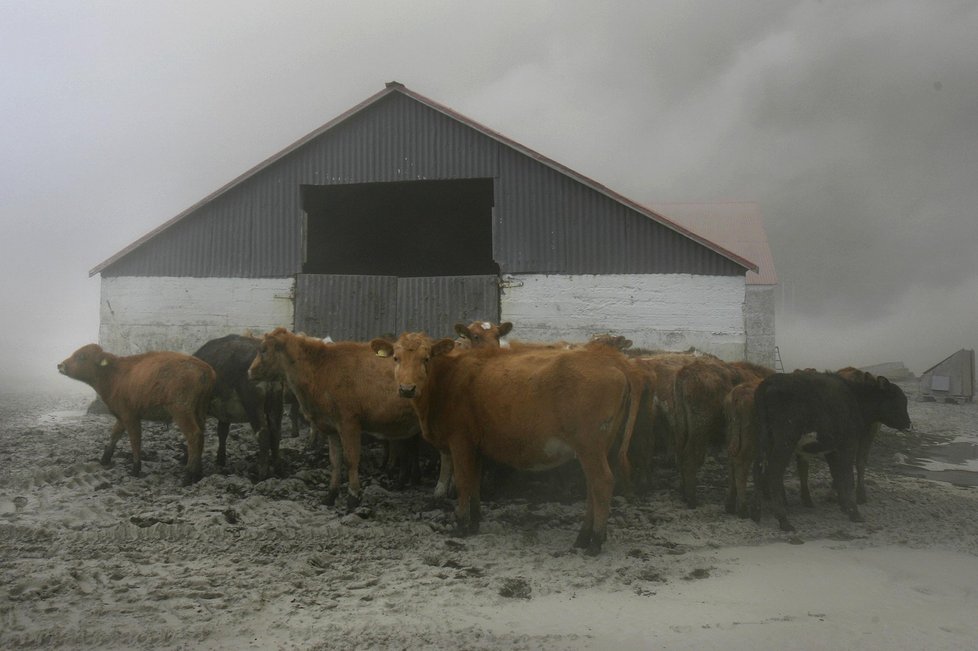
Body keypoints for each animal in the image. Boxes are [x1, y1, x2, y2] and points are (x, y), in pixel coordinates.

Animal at [57, 346, 214, 484]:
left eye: (81, 356)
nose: (60, 365)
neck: (115, 374)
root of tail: (204, 369)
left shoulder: (130, 417)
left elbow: (135, 440)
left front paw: (135, 469)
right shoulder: (122, 417)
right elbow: (115, 434)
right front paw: (104, 459)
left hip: (181, 412)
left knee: (194, 436)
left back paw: (188, 476)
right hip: (200, 413)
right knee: (201, 436)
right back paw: (198, 473)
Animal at [191, 336, 282, 478]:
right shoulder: (225, 413)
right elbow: (222, 432)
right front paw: (220, 460)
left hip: (253, 405)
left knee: (263, 434)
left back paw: (261, 473)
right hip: (276, 402)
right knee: (276, 432)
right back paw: (278, 469)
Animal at [244, 328, 424, 506]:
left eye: (263, 350)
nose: (249, 371)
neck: (321, 368)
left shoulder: (349, 423)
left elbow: (351, 459)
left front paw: (353, 497)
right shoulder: (331, 427)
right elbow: (335, 460)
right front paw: (331, 495)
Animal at [370, 336, 636, 556]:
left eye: (426, 358)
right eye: (396, 358)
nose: (407, 389)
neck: (448, 379)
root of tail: (611, 359)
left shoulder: (460, 441)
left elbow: (464, 482)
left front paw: (461, 524)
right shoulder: (476, 446)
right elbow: (474, 482)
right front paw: (475, 522)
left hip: (589, 445)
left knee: (602, 482)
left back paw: (595, 542)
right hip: (597, 447)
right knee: (592, 487)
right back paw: (583, 537)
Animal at [752, 370, 912, 532]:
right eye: (899, 400)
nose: (908, 423)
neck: (855, 398)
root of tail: (771, 381)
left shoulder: (832, 449)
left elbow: (837, 474)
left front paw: (844, 506)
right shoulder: (848, 444)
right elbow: (847, 477)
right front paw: (854, 512)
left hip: (763, 440)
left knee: (758, 470)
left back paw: (756, 514)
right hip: (785, 441)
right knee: (773, 472)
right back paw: (783, 519)